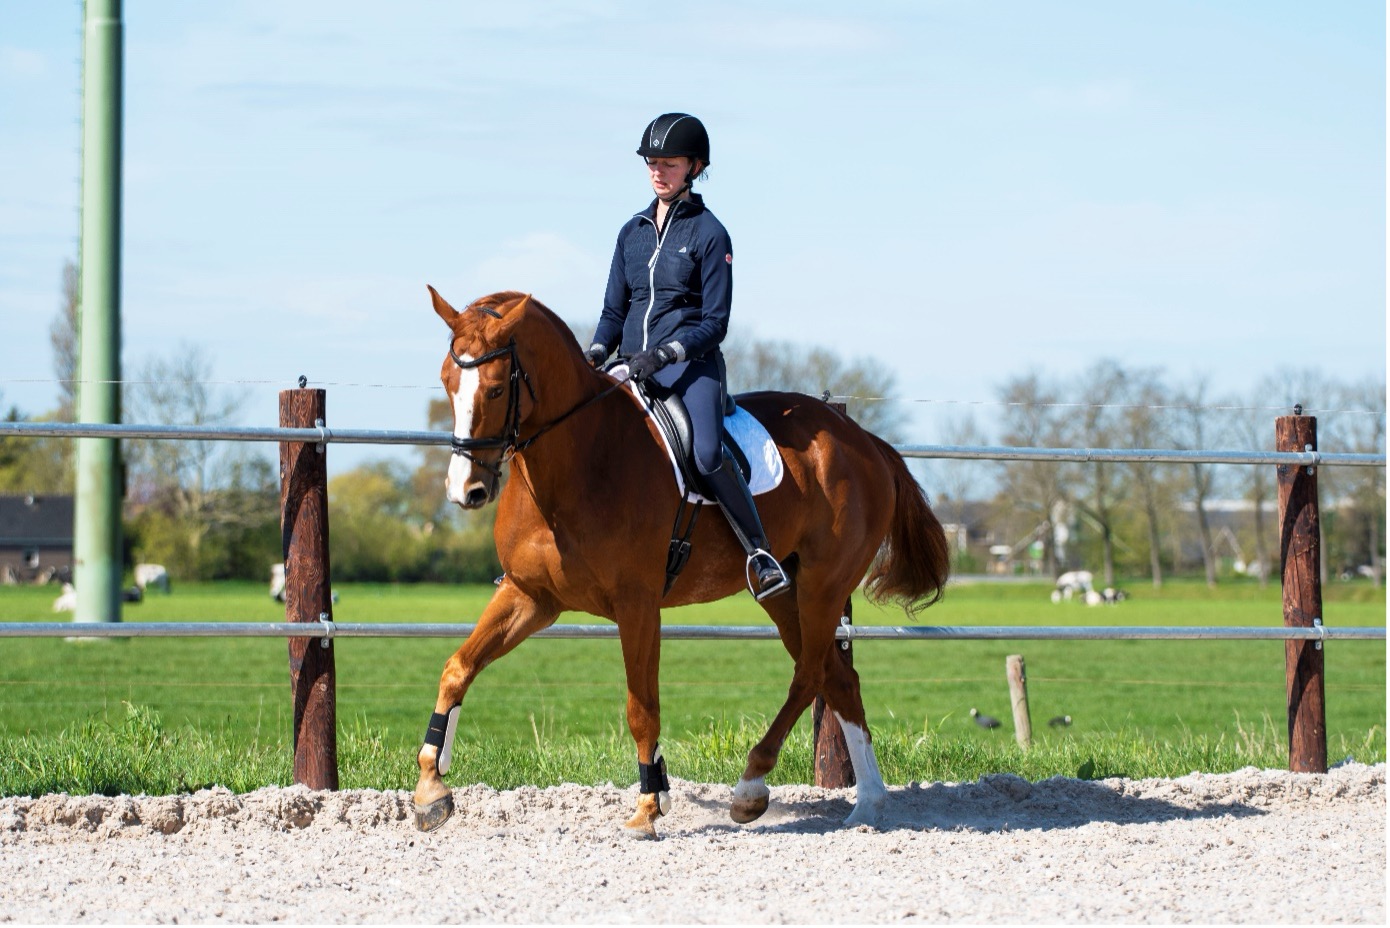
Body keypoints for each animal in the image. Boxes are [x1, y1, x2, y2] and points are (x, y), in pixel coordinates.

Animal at [414, 287, 950, 837]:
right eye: (447, 381)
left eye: (497, 389)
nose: (466, 490)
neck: (580, 458)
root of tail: (864, 440)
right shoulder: (530, 596)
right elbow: (457, 668)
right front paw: (432, 789)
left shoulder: (637, 605)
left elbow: (641, 708)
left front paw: (649, 807)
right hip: (785, 591)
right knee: (835, 677)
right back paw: (867, 806)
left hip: (824, 585)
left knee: (809, 674)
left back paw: (751, 788)